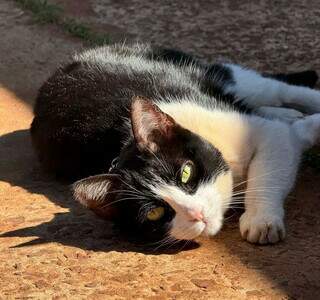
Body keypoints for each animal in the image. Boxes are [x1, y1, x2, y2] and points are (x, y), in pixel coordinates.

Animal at [30, 43, 320, 245]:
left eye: (186, 172)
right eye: (155, 213)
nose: (197, 214)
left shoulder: (267, 134)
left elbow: (270, 168)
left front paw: (262, 220)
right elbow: (290, 135)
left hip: (218, 76)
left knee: (280, 90)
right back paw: (286, 114)